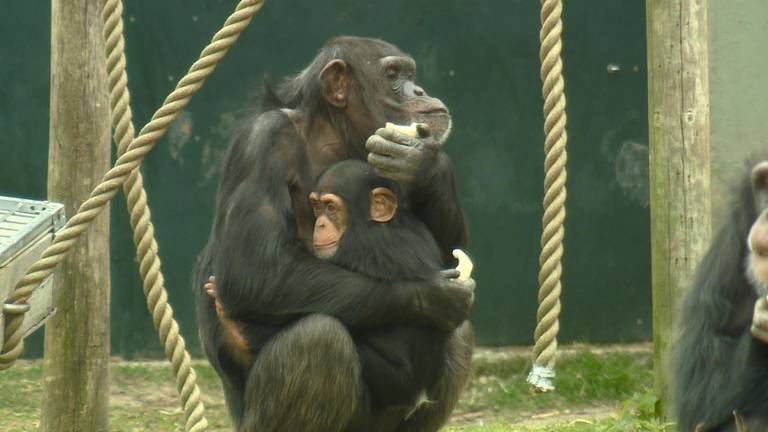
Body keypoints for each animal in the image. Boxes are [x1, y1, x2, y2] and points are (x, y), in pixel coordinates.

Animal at [194, 36, 474, 432]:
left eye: (409, 75)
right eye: (393, 75)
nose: (418, 90)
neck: (332, 136)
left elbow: (449, 253)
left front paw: (424, 162)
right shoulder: (261, 143)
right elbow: (251, 272)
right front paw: (430, 296)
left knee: (460, 332)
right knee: (318, 340)